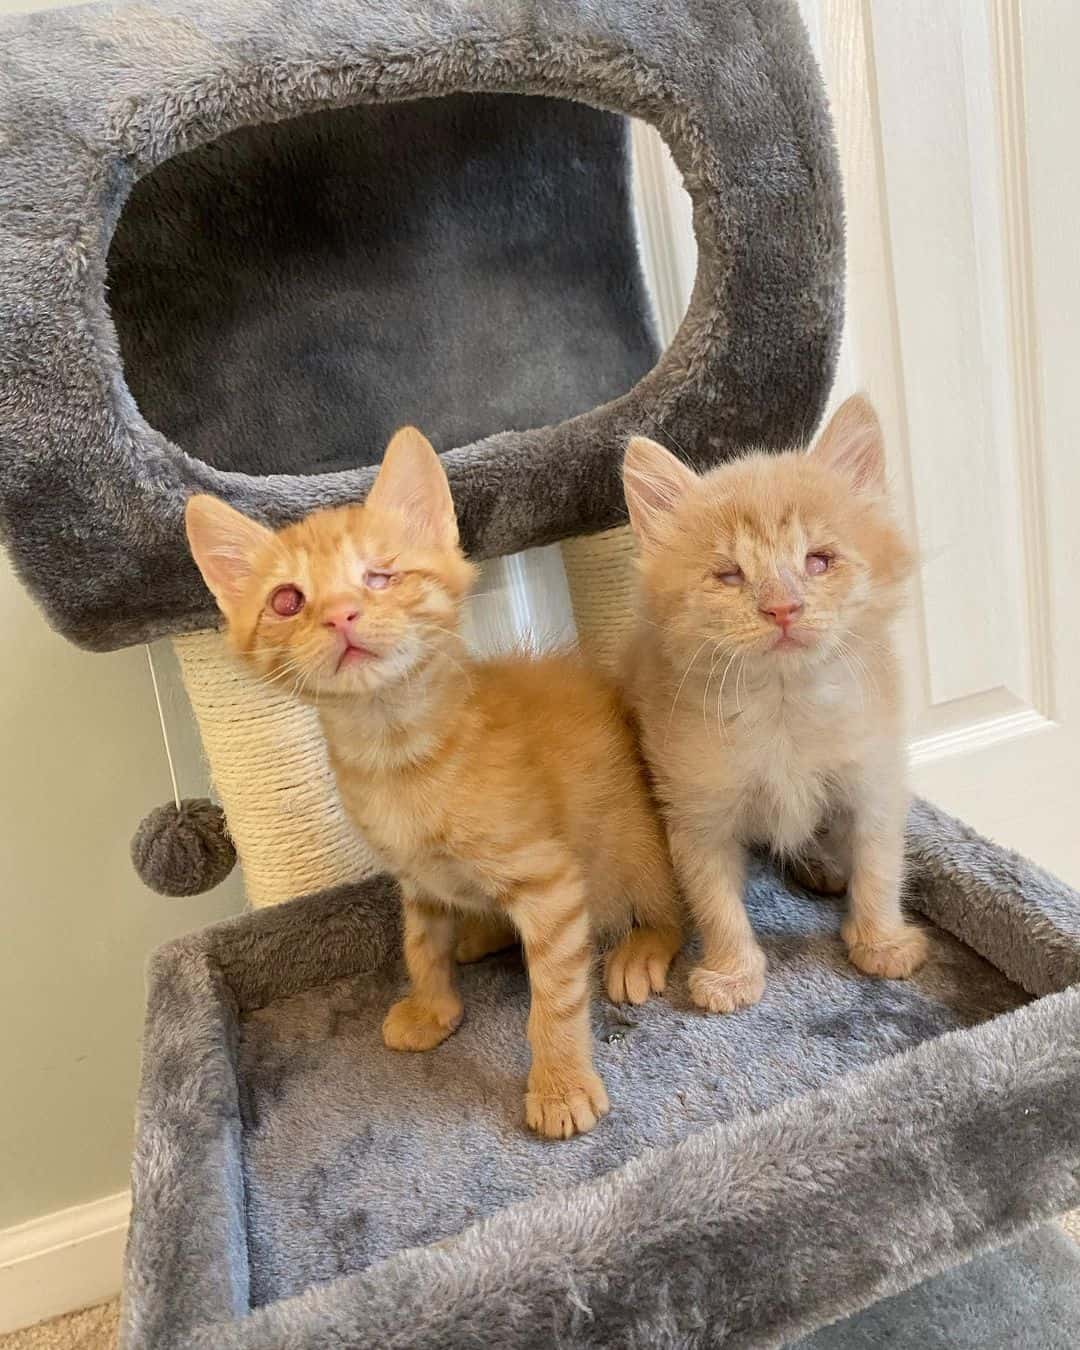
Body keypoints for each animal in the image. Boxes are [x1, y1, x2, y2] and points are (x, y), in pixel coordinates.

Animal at [182, 429, 680, 1139]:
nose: (341, 616)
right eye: (287, 601)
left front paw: (559, 1085)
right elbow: (420, 945)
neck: (395, 754)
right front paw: (431, 1007)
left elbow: (555, 997)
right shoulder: (415, 878)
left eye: (380, 576)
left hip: (638, 848)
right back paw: (481, 932)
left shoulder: (551, 883)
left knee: (672, 911)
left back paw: (642, 948)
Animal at [623, 394, 928, 1015]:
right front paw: (732, 974)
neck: (784, 707)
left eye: (818, 561)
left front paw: (881, 942)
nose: (782, 607)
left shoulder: (875, 778)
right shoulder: (696, 807)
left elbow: (880, 864)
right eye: (729, 575)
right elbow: (714, 900)